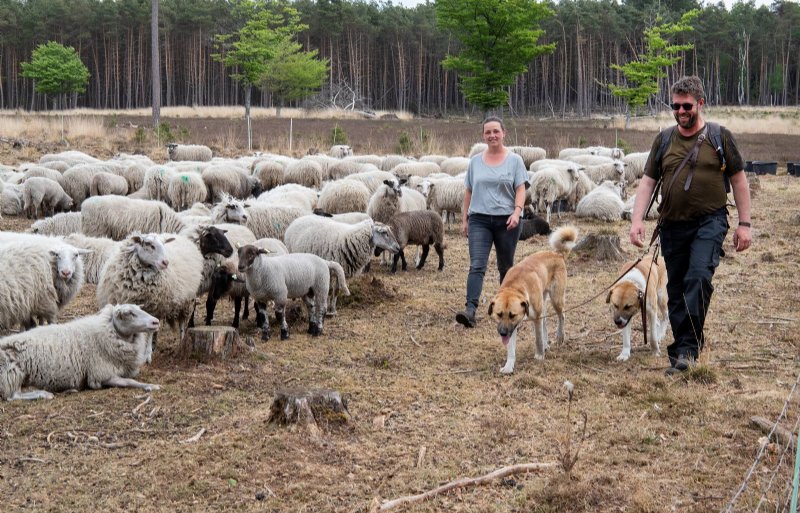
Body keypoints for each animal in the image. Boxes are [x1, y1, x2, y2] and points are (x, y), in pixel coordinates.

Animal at [0, 304, 161, 400]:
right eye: (129, 313)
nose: (156, 321)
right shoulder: (100, 374)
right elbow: (129, 381)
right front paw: (151, 386)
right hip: (12, 373)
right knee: (13, 396)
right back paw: (44, 394)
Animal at [484, 224, 580, 372]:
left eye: (512, 315)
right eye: (499, 314)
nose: (503, 333)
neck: (515, 286)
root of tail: (557, 254)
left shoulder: (533, 317)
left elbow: (538, 338)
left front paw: (539, 356)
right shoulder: (513, 326)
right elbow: (511, 349)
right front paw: (508, 366)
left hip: (556, 298)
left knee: (561, 316)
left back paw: (559, 336)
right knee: (546, 322)